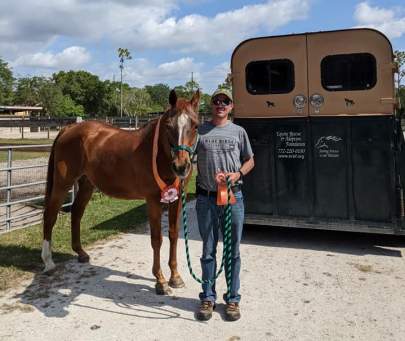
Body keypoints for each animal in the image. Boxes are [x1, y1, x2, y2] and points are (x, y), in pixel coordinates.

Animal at [41, 89, 199, 294]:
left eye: (195, 125)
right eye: (168, 126)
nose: (180, 166)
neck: (158, 154)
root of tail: (68, 129)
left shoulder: (177, 198)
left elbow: (173, 235)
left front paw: (176, 277)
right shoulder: (153, 201)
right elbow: (157, 239)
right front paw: (161, 281)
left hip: (87, 184)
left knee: (76, 212)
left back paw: (81, 253)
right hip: (63, 183)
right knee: (50, 216)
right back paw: (48, 262)